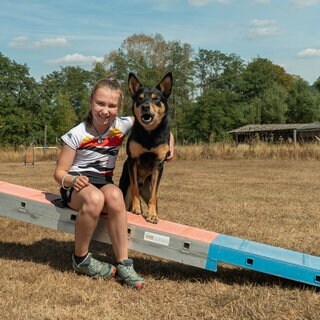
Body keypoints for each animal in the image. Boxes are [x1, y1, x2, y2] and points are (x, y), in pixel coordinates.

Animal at [119, 72, 172, 224]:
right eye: (139, 99)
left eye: (156, 99)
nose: (145, 107)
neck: (149, 133)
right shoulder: (132, 160)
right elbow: (135, 188)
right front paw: (137, 209)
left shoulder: (158, 164)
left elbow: (154, 194)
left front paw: (152, 215)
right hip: (124, 187)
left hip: (147, 189)